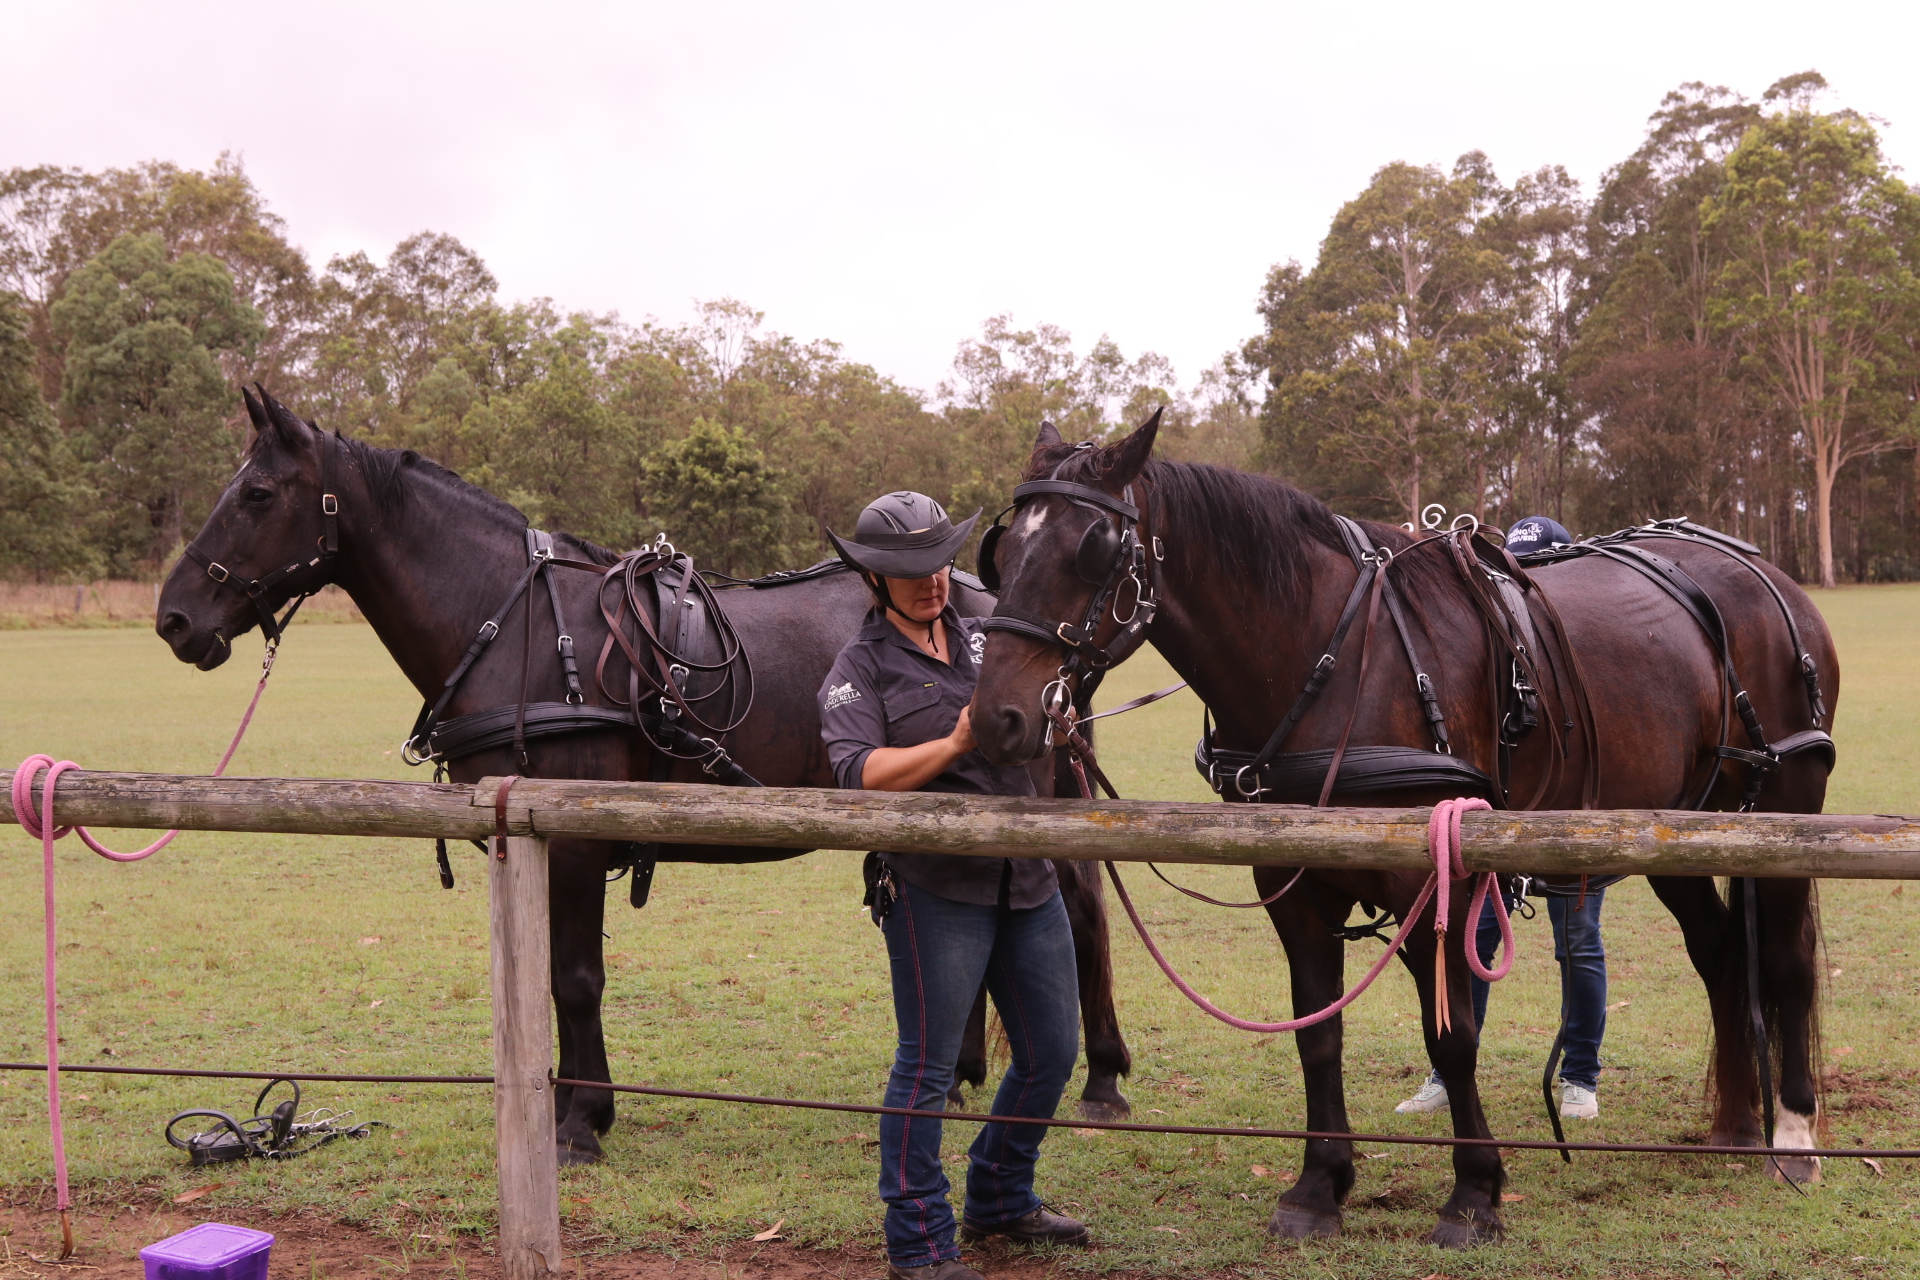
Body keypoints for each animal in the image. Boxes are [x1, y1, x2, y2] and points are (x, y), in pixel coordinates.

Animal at [153, 391, 1136, 1159]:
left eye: (258, 493)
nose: (174, 617)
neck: (514, 626)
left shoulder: (576, 838)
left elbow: (575, 977)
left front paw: (582, 1120)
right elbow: (550, 977)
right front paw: (573, 1103)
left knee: (1081, 908)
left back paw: (1104, 1078)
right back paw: (965, 1069)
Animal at [983, 418, 1835, 1251]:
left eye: (1093, 548)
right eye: (1003, 550)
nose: (1002, 715)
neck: (1331, 656)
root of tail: (1764, 573)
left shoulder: (1437, 878)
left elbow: (1451, 1038)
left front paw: (1475, 1195)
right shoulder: (1292, 887)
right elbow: (1317, 1032)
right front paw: (1319, 1187)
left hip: (1786, 811)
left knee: (1786, 963)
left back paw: (1793, 1135)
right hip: (1674, 830)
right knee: (1721, 954)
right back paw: (1733, 1126)